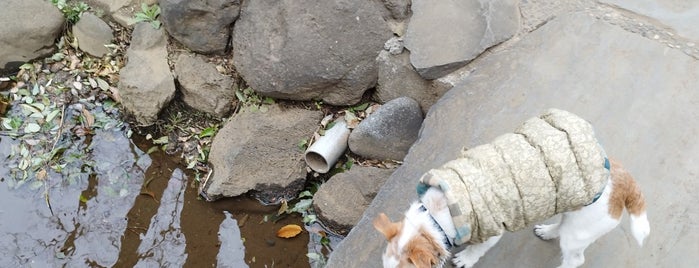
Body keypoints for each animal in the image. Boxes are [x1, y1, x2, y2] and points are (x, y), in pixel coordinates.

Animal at [374, 159, 652, 268]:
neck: (435, 216)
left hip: (578, 233)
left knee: (575, 259)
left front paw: (466, 259)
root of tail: (623, 179)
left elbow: (476, 250)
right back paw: (548, 231)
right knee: (562, 225)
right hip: (572, 212)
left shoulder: (489, 233)